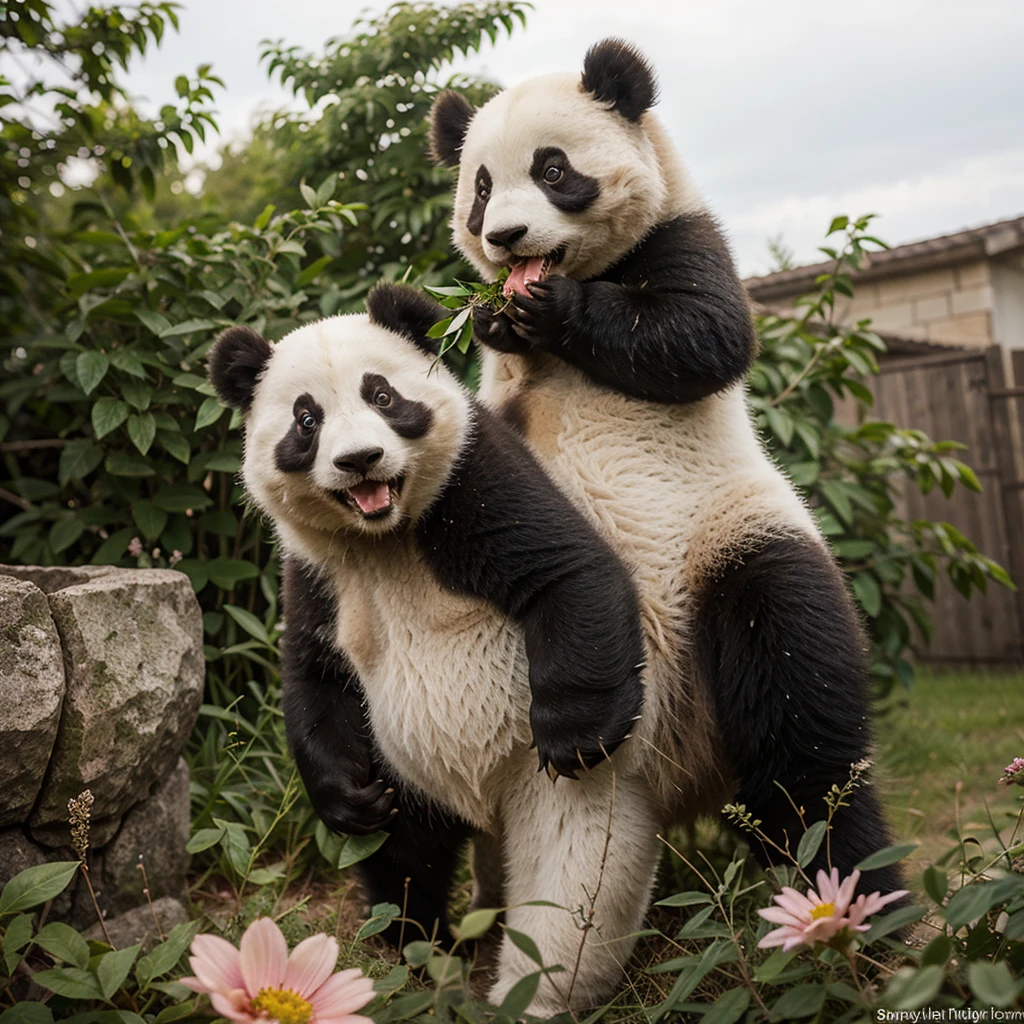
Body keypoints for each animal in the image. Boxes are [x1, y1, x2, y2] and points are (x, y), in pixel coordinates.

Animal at [206, 284, 667, 1011]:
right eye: (306, 419)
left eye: (382, 395)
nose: (360, 460)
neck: (386, 536)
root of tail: (480, 806)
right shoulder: (318, 572)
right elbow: (316, 675)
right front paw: (347, 799)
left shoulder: (476, 481)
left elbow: (569, 570)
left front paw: (574, 733)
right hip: (406, 770)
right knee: (404, 863)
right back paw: (421, 956)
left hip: (548, 796)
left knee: (569, 889)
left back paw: (532, 996)